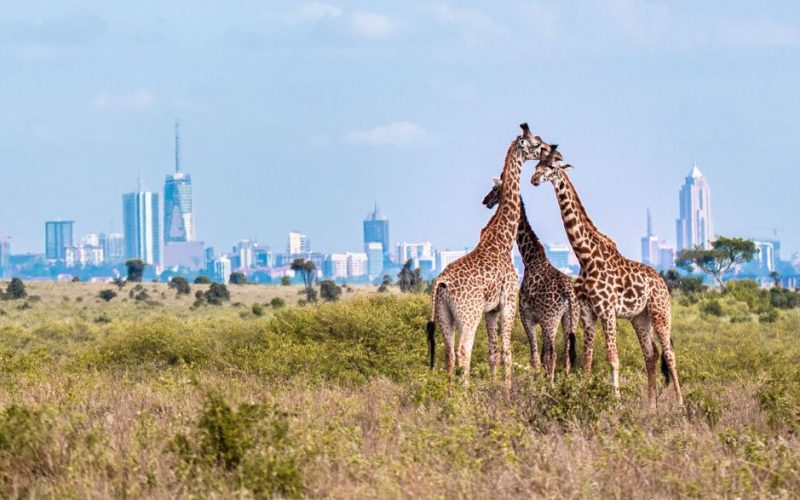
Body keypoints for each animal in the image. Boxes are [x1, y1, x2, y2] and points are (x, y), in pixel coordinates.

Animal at [428, 123, 552, 384]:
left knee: (449, 354)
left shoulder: (490, 310)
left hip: (445, 316)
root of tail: (441, 284)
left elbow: (493, 353)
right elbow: (507, 351)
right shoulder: (508, 302)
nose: (550, 149)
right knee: (463, 351)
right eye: (536, 143)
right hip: (468, 314)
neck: (502, 240)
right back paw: (464, 393)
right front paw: (506, 390)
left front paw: (495, 386)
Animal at [478, 174, 580, 380]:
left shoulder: (527, 316)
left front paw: (537, 382)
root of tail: (568, 293)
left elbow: (535, 356)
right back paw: (566, 382)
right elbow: (540, 355)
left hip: (551, 320)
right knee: (566, 353)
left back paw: (551, 384)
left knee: (553, 354)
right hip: (570, 319)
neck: (530, 259)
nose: (485, 201)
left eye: (495, 190)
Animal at [528, 148, 684, 406]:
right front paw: (583, 396)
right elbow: (587, 358)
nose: (534, 179)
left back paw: (681, 404)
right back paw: (651, 406)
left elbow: (613, 358)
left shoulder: (607, 310)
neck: (585, 257)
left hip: (661, 312)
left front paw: (616, 402)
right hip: (640, 317)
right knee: (650, 354)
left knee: (670, 354)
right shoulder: (587, 312)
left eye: (551, 167)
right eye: (536, 165)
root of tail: (662, 282)